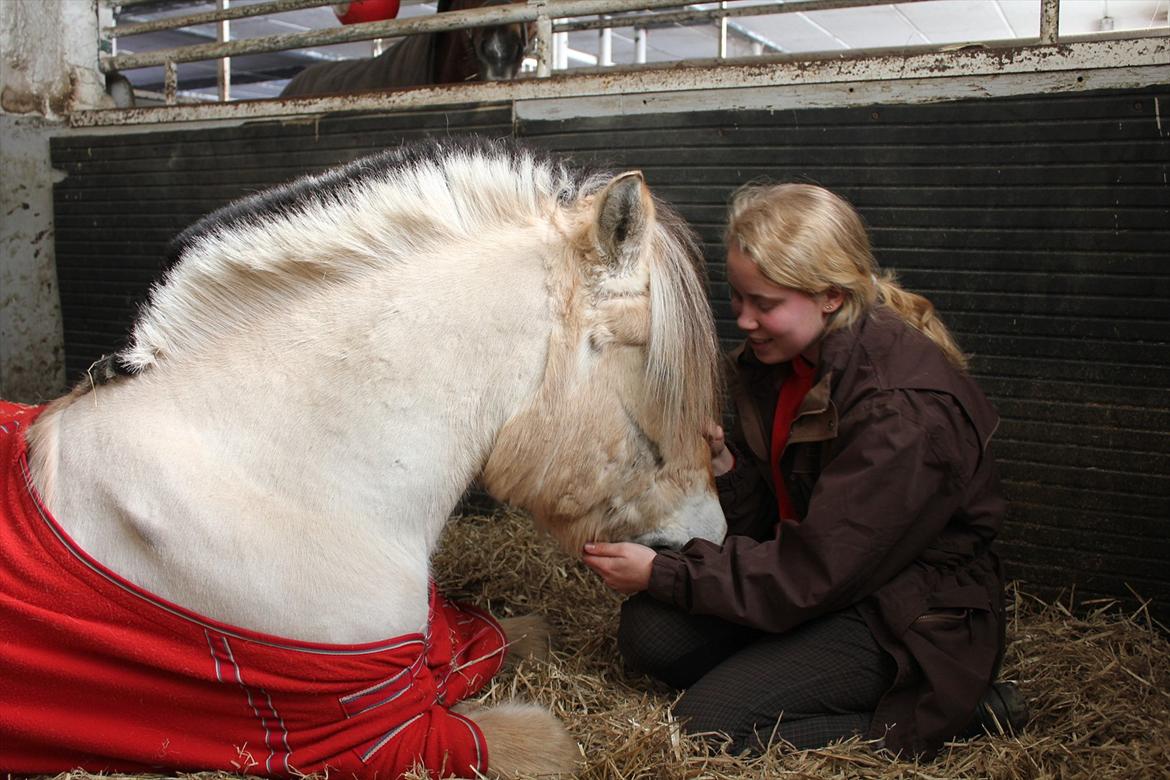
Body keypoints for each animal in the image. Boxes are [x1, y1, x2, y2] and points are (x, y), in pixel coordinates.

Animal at [2, 137, 720, 776]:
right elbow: (553, 744)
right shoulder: (377, 733)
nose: (707, 539)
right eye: (650, 365)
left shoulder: (425, 656)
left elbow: (521, 632)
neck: (273, 479)